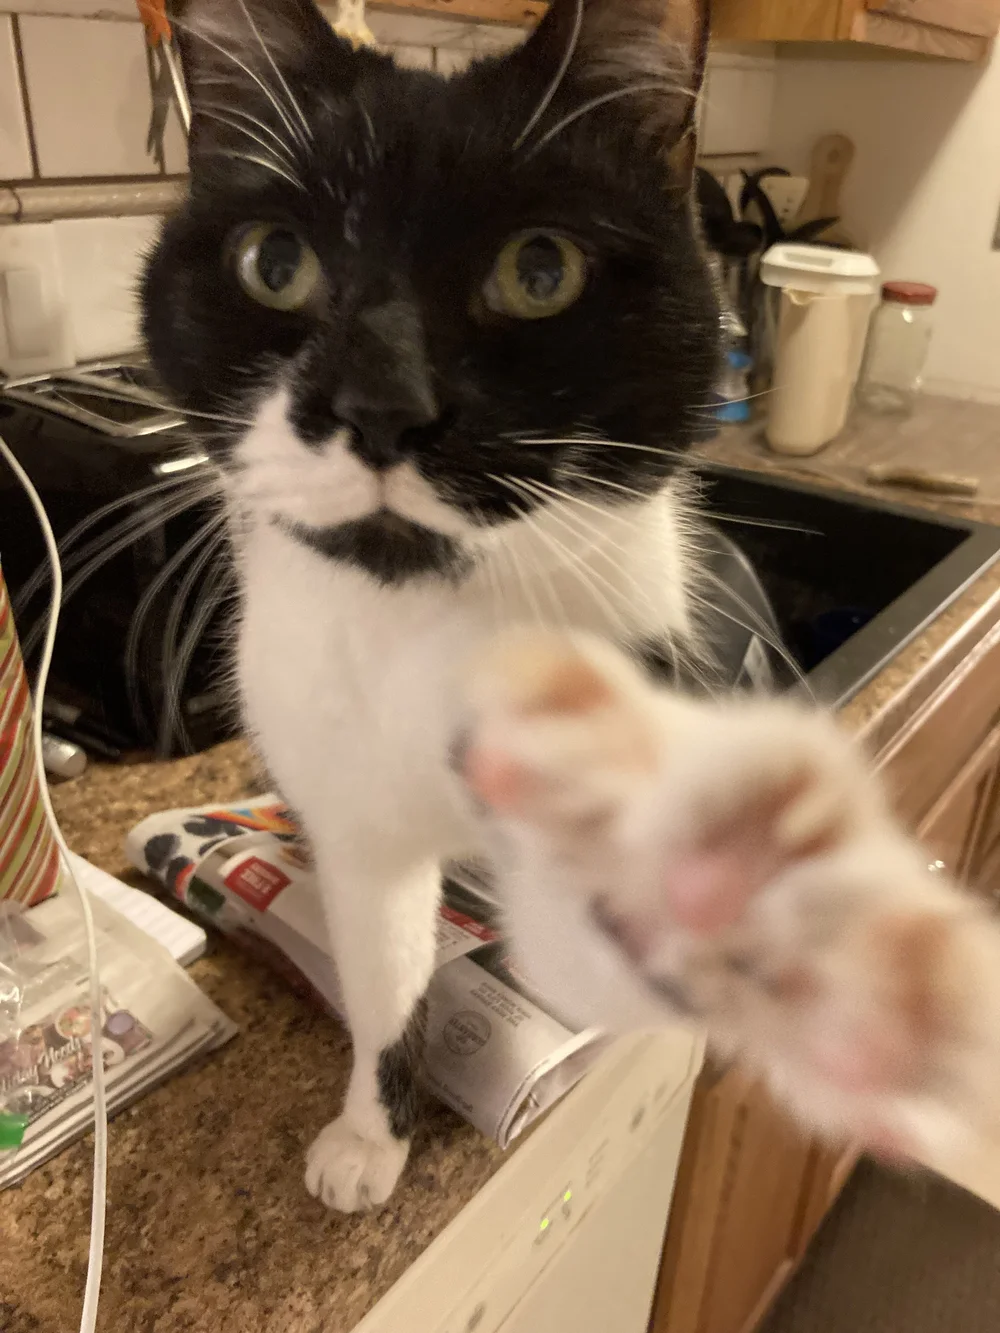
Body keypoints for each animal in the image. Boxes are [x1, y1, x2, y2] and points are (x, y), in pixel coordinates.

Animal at [144, 0, 1000, 1215]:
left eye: (539, 269)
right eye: (275, 262)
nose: (380, 404)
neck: (430, 624)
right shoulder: (353, 808)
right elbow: (386, 968)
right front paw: (370, 1132)